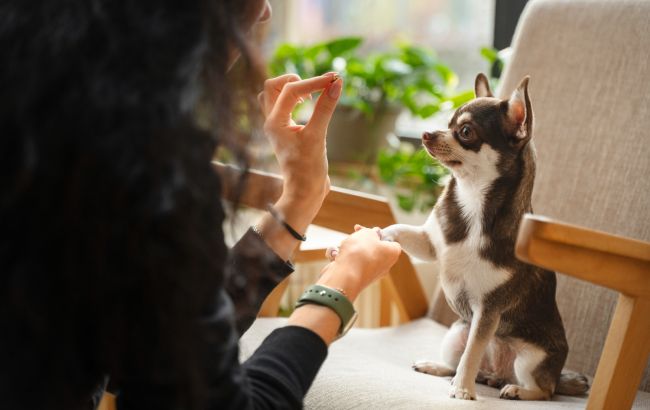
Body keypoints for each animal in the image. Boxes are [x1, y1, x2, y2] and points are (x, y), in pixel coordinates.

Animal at [380, 73, 588, 400]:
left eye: (465, 132)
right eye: (447, 123)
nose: (426, 134)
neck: (473, 200)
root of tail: (497, 372)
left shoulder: (488, 311)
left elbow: (473, 352)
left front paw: (463, 390)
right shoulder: (430, 245)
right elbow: (401, 231)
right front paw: (379, 235)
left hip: (530, 358)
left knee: (544, 390)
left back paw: (515, 390)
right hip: (456, 333)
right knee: (457, 362)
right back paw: (439, 367)